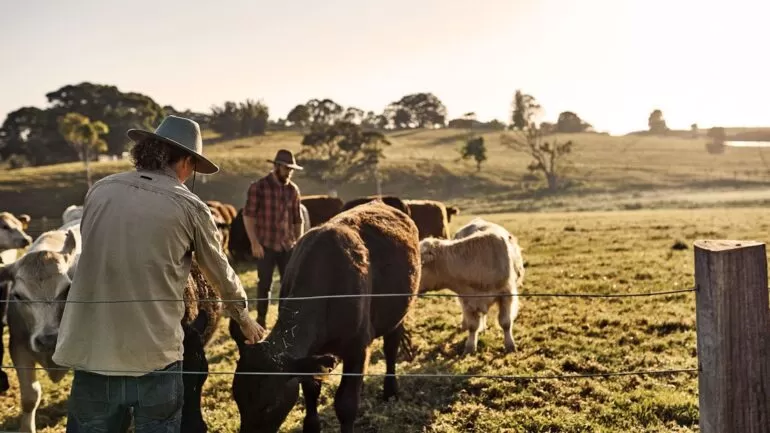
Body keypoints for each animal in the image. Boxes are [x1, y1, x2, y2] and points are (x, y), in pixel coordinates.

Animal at [228, 202, 420, 432]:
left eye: (269, 405)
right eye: (237, 398)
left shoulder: (358, 347)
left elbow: (346, 405)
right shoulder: (310, 356)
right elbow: (311, 391)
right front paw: (312, 426)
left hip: (397, 314)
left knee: (391, 347)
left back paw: (391, 390)